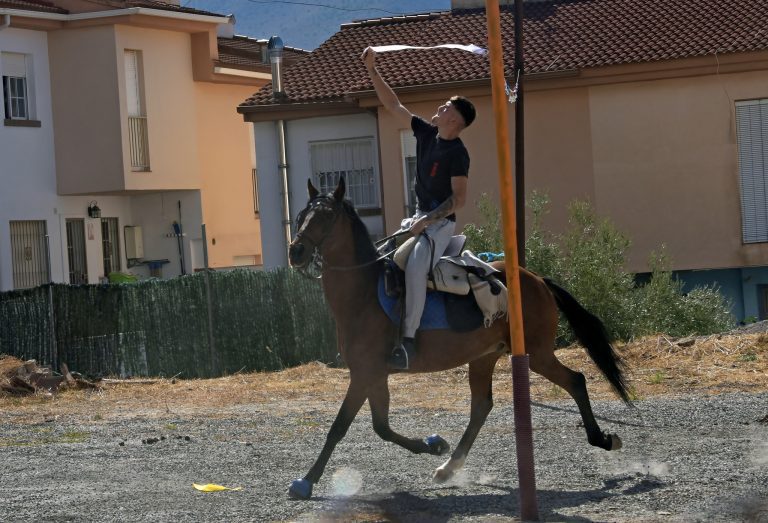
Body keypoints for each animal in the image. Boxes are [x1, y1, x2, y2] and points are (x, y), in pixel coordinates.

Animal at [285, 177, 630, 500]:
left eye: (327, 216)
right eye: (301, 215)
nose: (295, 251)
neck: (363, 293)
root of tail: (537, 279)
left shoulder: (364, 374)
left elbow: (340, 427)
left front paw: (306, 481)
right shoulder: (372, 374)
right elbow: (381, 427)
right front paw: (433, 444)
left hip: (537, 353)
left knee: (576, 380)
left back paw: (603, 439)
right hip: (485, 357)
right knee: (481, 406)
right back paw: (448, 467)